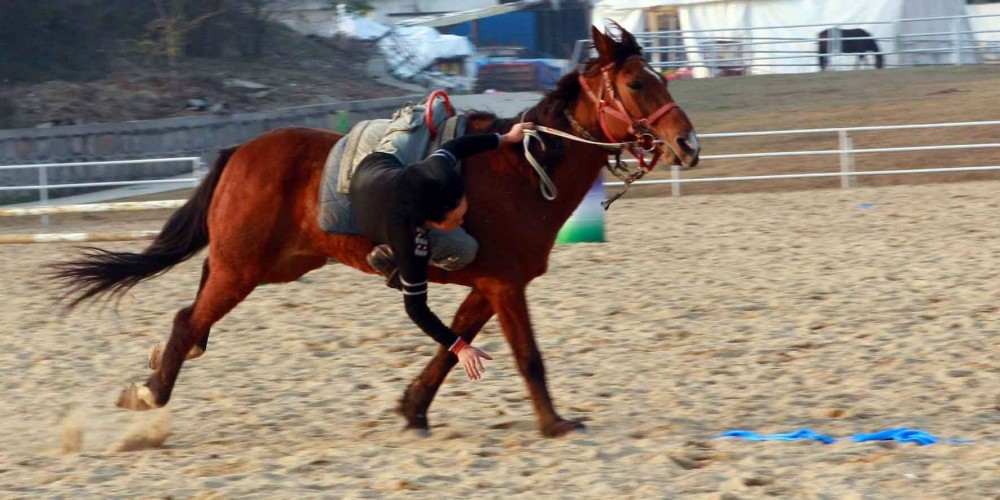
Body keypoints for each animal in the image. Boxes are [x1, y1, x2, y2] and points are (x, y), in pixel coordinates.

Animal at [52, 25, 696, 436]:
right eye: (637, 84)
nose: (686, 143)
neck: (520, 169)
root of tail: (240, 152)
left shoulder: (488, 285)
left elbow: (450, 346)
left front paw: (413, 408)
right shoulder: (508, 286)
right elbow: (527, 356)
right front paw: (555, 422)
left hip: (268, 267)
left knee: (191, 322)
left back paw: (152, 372)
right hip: (242, 270)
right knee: (190, 321)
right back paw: (150, 391)